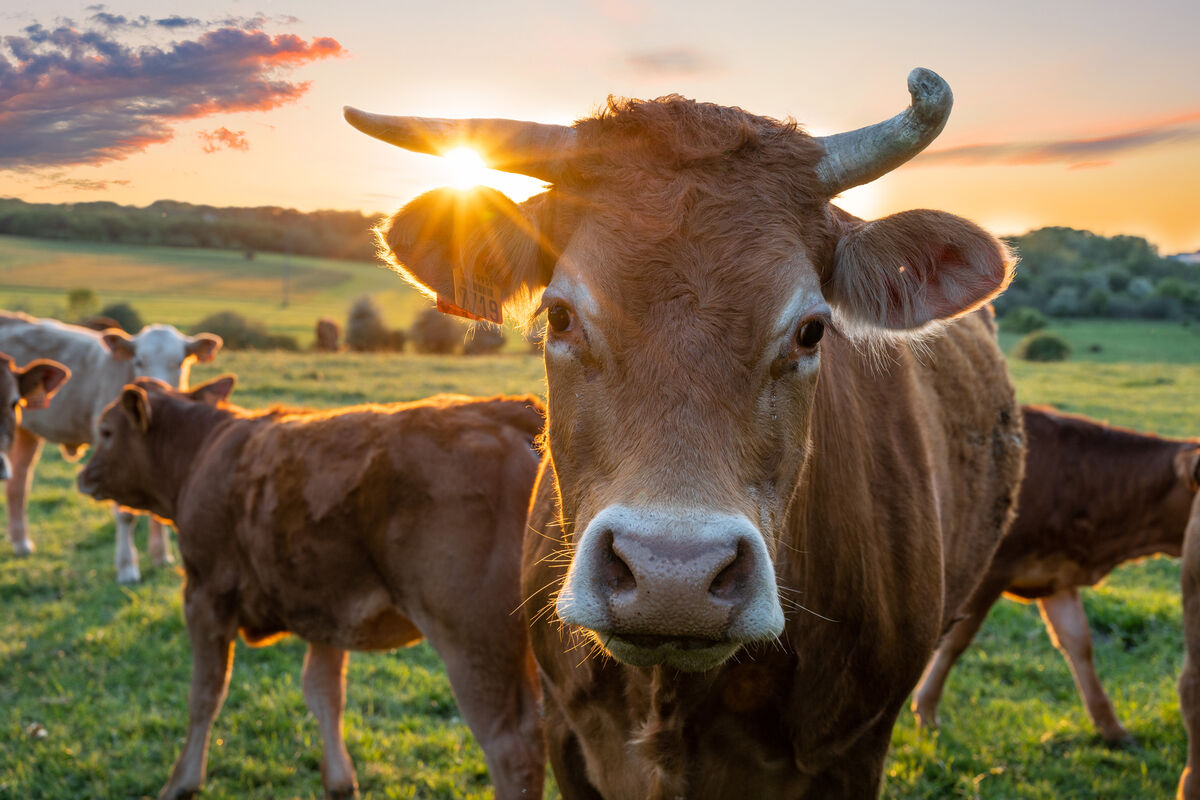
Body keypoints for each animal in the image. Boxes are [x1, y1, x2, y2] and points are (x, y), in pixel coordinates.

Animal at [0, 311, 220, 582]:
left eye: (179, 363)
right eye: (138, 361)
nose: (157, 391)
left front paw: (161, 556)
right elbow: (125, 514)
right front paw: (127, 568)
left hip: (26, 431)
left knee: (17, 485)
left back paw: (21, 543)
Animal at [75, 381, 544, 800]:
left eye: (106, 431)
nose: (83, 474)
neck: (202, 452)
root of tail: (505, 411)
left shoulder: (204, 596)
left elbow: (205, 694)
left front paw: (181, 783)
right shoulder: (326, 609)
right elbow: (324, 693)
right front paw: (340, 782)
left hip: (474, 642)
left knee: (514, 750)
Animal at [912, 410, 1195, 748]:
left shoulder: (1057, 576)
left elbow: (1079, 644)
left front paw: (1111, 727)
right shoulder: (992, 571)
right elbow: (956, 641)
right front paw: (926, 710)